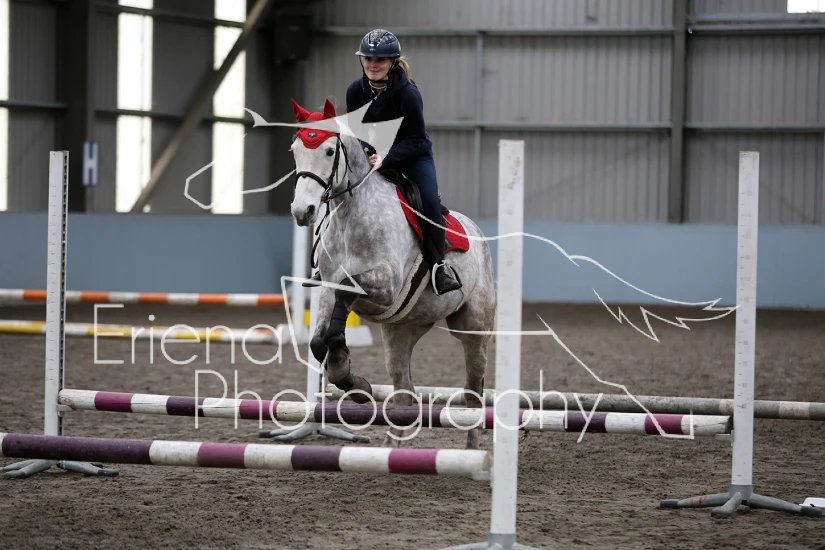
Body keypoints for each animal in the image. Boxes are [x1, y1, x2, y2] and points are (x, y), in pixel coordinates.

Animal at [288, 98, 496, 449]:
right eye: (295, 150)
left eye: (329, 151)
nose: (303, 212)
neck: (351, 217)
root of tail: (477, 233)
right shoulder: (327, 289)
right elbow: (319, 340)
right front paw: (351, 379)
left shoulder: (386, 285)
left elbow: (346, 290)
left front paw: (344, 365)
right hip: (402, 330)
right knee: (405, 394)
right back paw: (388, 450)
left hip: (473, 329)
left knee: (472, 395)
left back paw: (471, 453)